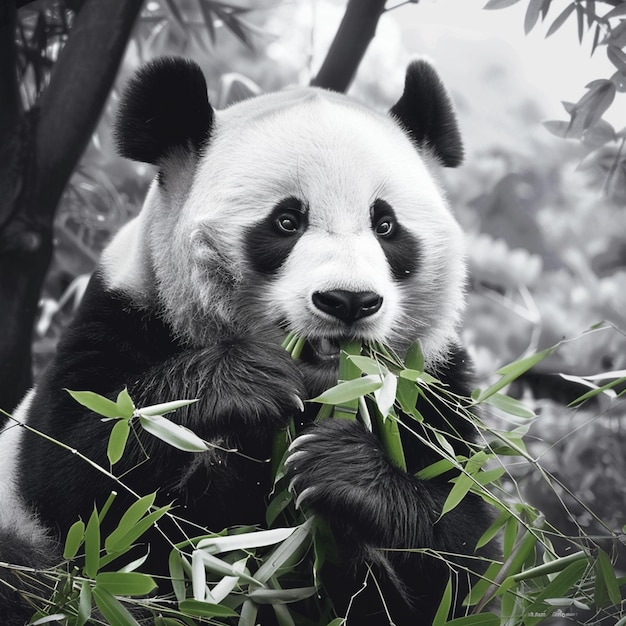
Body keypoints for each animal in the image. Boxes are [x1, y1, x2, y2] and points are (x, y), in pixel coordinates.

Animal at [1, 56, 498, 620]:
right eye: (286, 220)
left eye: (386, 225)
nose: (348, 301)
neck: (322, 386)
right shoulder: (123, 315)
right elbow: (78, 474)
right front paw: (246, 383)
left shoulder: (427, 382)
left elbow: (464, 552)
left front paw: (343, 470)